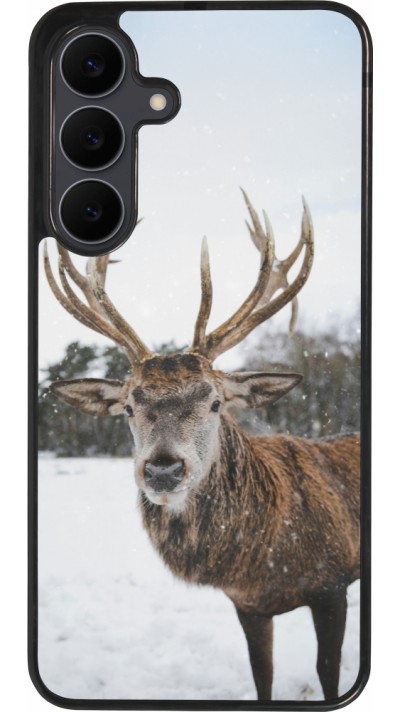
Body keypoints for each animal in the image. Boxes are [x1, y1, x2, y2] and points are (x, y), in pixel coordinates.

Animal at [43, 190, 360, 701]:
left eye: (215, 402)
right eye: (128, 407)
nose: (163, 470)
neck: (265, 562)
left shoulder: (332, 585)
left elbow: (328, 674)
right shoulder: (247, 604)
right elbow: (262, 676)